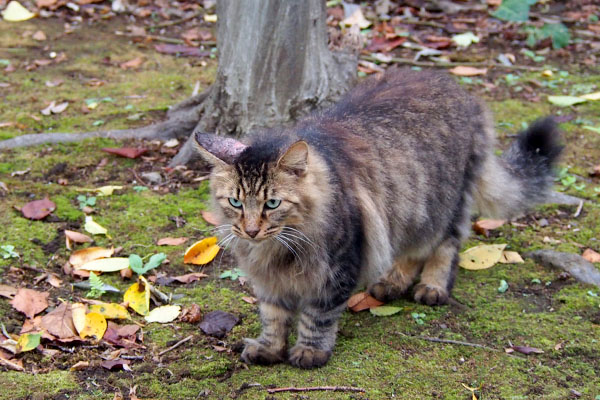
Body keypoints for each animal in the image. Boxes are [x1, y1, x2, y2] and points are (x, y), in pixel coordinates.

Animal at [192, 68, 564, 368]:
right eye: (235, 202)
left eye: (271, 203)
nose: (251, 230)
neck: (281, 248)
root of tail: (461, 92)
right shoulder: (269, 281)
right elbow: (273, 317)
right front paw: (270, 350)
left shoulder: (337, 269)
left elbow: (316, 317)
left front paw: (310, 352)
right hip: (407, 210)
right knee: (410, 252)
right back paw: (392, 282)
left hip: (441, 206)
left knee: (445, 245)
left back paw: (432, 286)